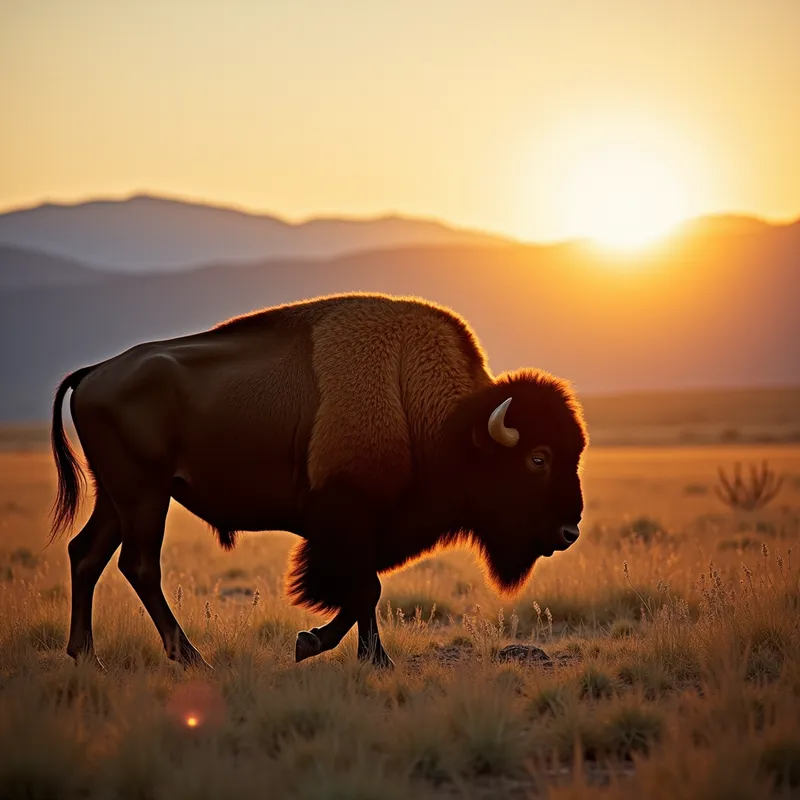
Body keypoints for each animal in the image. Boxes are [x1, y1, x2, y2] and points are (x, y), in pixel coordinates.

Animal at [50, 292, 587, 669]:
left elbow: (365, 591)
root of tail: (94, 373)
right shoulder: (347, 521)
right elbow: (364, 589)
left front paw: (366, 656)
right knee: (139, 565)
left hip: (116, 498)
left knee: (87, 555)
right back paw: (192, 658)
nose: (570, 531)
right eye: (538, 458)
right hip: (144, 495)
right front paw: (319, 645)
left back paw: (87, 657)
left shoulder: (366, 530)